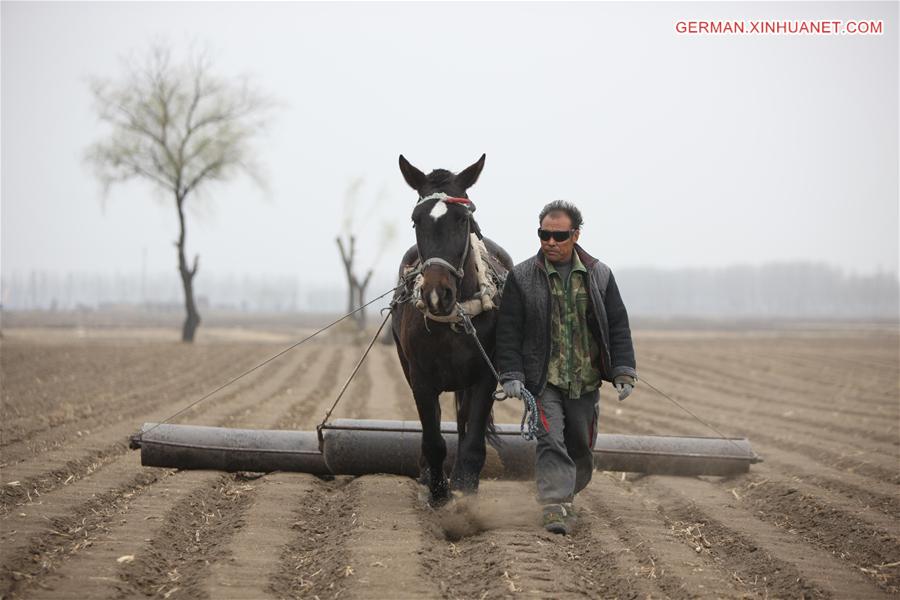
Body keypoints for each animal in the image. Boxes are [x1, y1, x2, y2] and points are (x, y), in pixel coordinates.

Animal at [388, 152, 510, 504]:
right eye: (416, 220)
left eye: (461, 218)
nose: (435, 294)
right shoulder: (420, 378)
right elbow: (433, 438)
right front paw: (438, 491)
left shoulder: (486, 375)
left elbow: (472, 440)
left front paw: (465, 486)